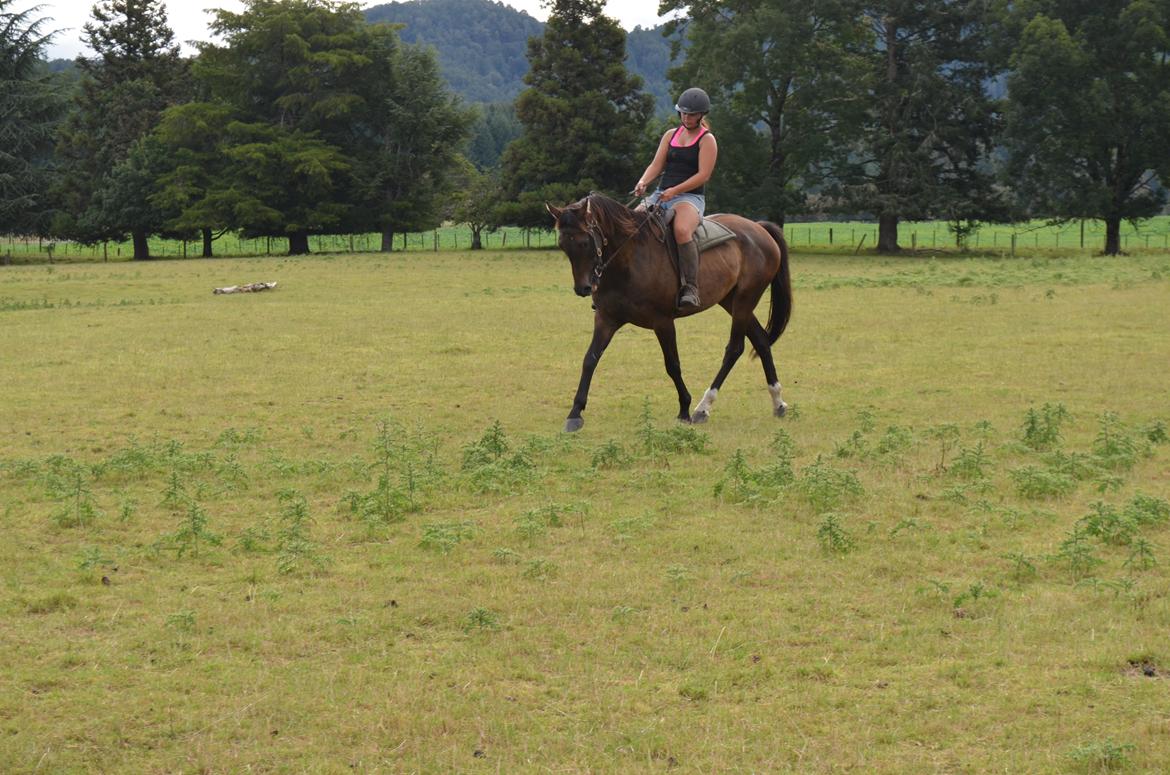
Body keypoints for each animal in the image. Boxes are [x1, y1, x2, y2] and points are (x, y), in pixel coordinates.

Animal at [546, 192, 792, 432]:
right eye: (562, 245)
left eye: (584, 242)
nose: (583, 288)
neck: (628, 260)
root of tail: (758, 228)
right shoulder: (606, 319)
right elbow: (590, 359)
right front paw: (575, 413)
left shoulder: (662, 322)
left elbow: (672, 364)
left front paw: (684, 409)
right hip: (731, 301)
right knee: (761, 340)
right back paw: (778, 402)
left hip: (744, 301)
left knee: (735, 349)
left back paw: (703, 408)